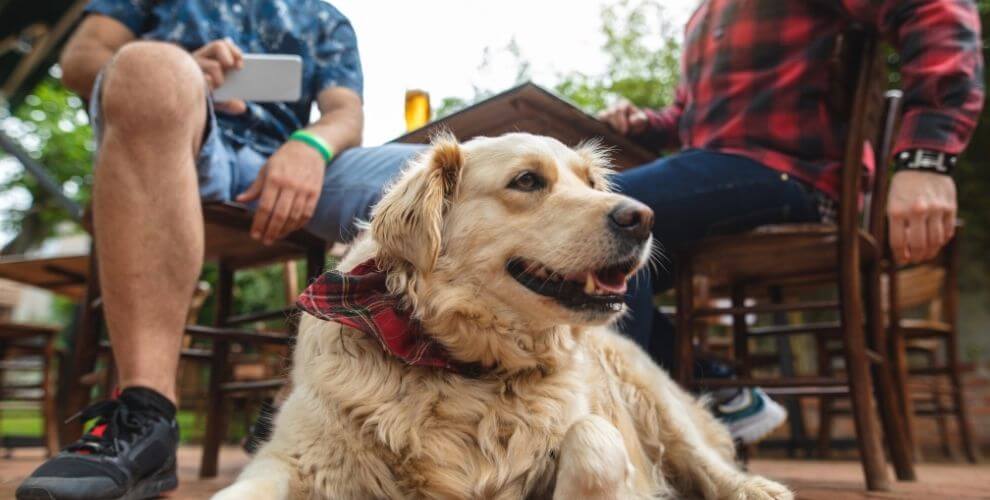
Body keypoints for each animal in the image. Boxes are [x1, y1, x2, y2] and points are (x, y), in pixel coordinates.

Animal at [213, 134, 796, 500]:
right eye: (527, 181)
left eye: (590, 184)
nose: (643, 218)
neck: (466, 368)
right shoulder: (294, 455)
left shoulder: (600, 440)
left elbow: (593, 438)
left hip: (651, 393)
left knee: (704, 458)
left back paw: (756, 488)